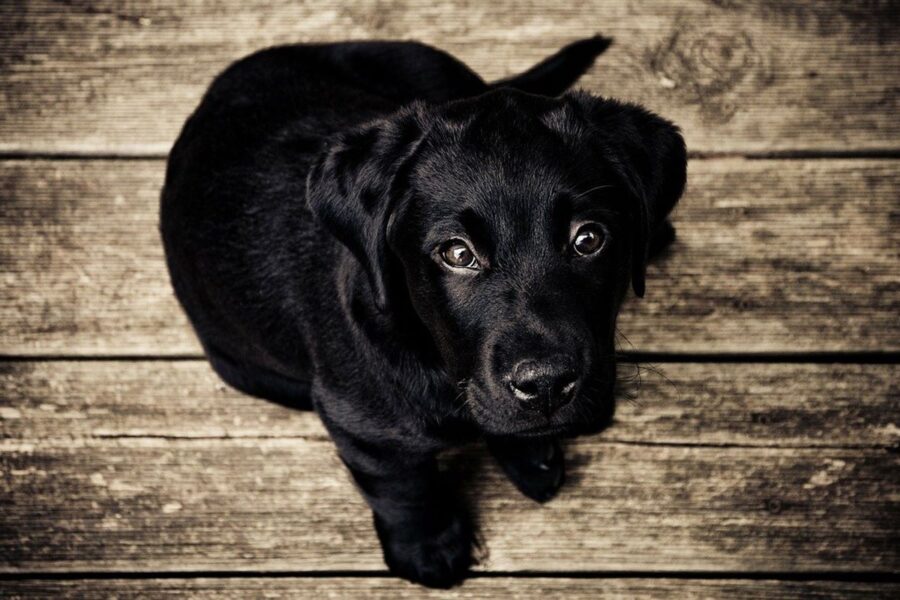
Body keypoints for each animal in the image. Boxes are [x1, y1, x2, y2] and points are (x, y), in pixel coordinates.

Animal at [160, 35, 684, 588]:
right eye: (456, 254)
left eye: (588, 239)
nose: (545, 385)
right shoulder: (359, 425)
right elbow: (402, 486)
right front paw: (428, 546)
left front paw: (528, 453)